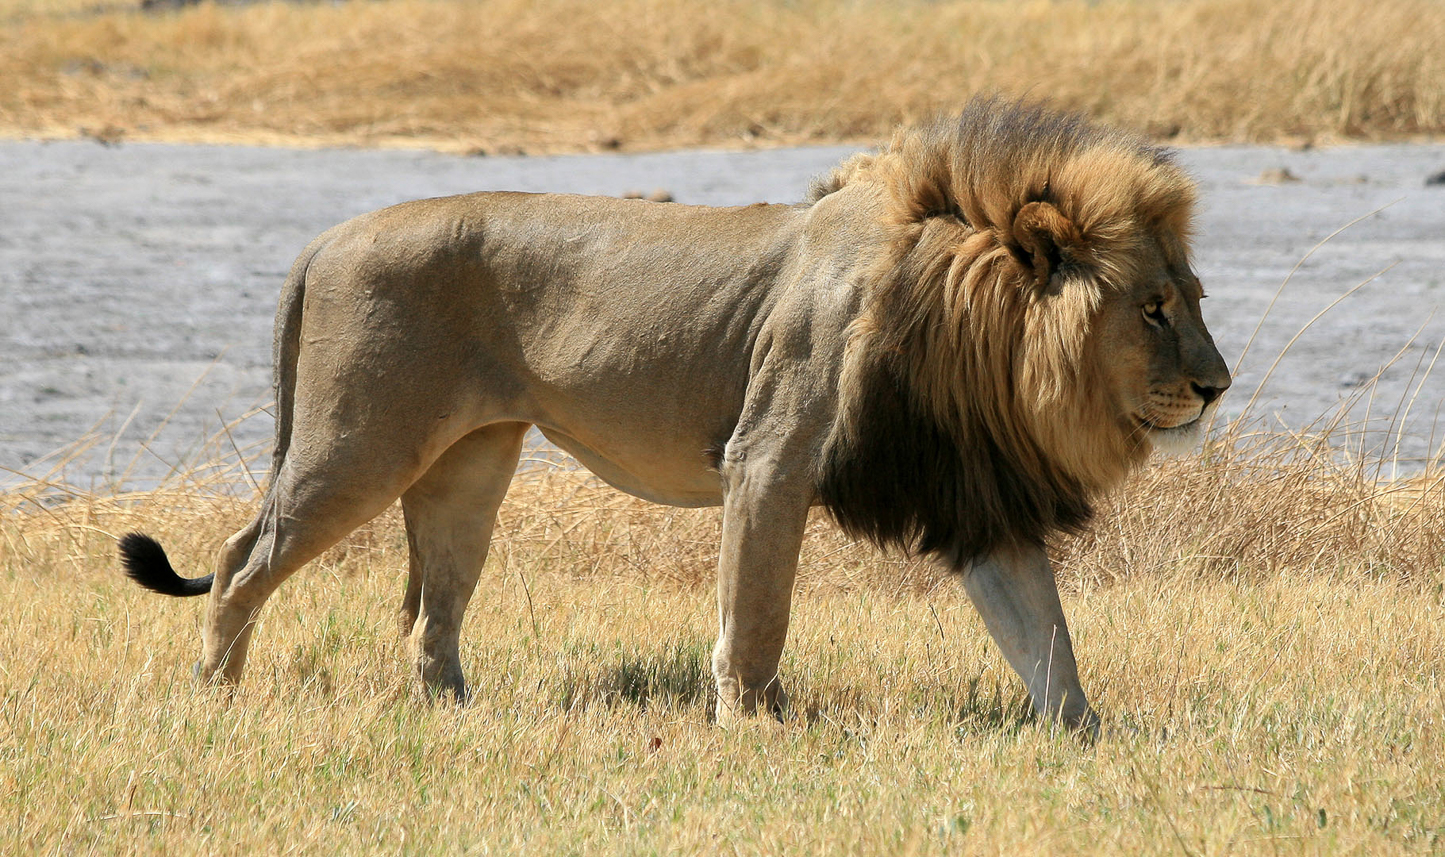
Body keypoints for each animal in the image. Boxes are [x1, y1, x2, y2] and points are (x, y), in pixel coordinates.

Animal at [121, 100, 1231, 728]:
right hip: (358, 446)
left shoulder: (971, 494)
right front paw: (754, 722)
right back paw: (214, 697)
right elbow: (757, 611)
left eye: (1194, 298)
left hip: (469, 467)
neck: (969, 345)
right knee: (239, 558)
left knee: (432, 611)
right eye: (1151, 309)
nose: (1217, 384)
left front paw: (1087, 741)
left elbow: (1046, 636)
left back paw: (455, 713)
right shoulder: (768, 456)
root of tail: (327, 234)